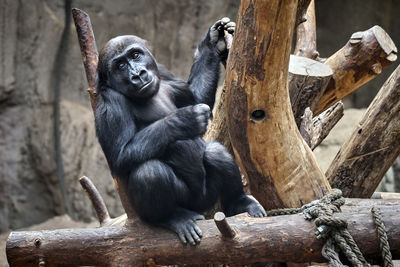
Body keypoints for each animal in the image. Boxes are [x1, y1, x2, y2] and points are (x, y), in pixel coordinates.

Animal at [94, 17, 266, 246]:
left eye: (135, 55)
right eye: (120, 65)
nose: (137, 74)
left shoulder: (162, 71)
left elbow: (195, 96)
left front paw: (213, 41)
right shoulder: (110, 104)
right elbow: (119, 156)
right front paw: (185, 119)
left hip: (208, 196)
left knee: (215, 152)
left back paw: (238, 202)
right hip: (175, 206)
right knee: (150, 172)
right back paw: (173, 217)